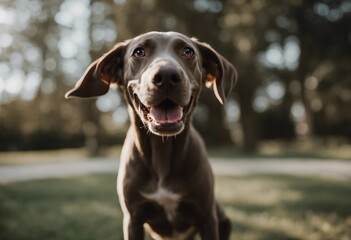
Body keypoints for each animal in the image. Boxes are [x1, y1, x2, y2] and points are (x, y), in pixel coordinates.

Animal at [65, 31, 238, 240]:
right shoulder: (133, 219)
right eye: (139, 52)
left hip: (222, 218)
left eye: (188, 51)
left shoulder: (206, 217)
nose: (167, 76)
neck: (162, 148)